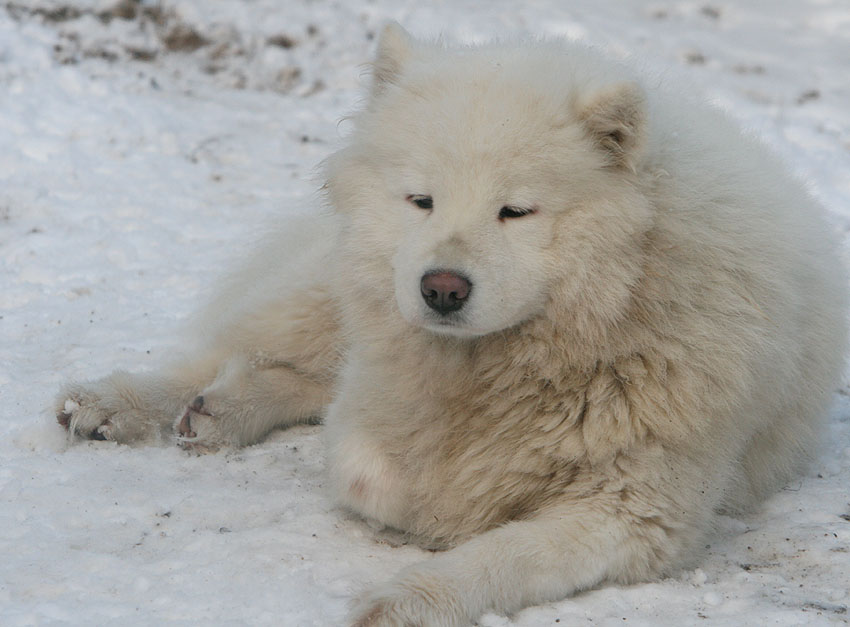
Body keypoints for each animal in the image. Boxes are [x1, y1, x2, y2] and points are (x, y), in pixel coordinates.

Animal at [56, 23, 844, 627]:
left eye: (515, 210)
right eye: (421, 200)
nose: (441, 289)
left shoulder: (632, 508)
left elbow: (503, 552)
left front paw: (410, 598)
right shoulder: (387, 390)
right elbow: (360, 457)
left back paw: (221, 409)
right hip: (327, 297)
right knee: (227, 352)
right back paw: (116, 402)